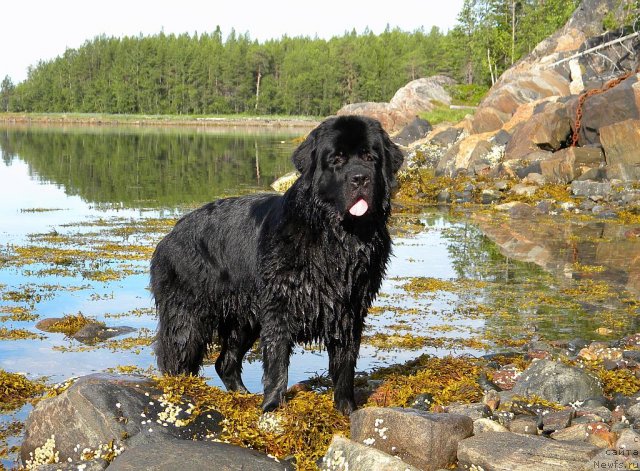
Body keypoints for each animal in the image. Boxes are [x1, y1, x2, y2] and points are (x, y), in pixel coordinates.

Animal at [148, 116, 402, 414]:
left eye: (369, 157)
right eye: (337, 159)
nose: (360, 178)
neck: (336, 237)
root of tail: (168, 236)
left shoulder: (349, 308)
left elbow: (344, 363)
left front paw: (346, 409)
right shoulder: (280, 305)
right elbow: (277, 361)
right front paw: (271, 406)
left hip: (244, 318)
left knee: (225, 362)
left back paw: (242, 396)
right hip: (187, 316)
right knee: (177, 359)